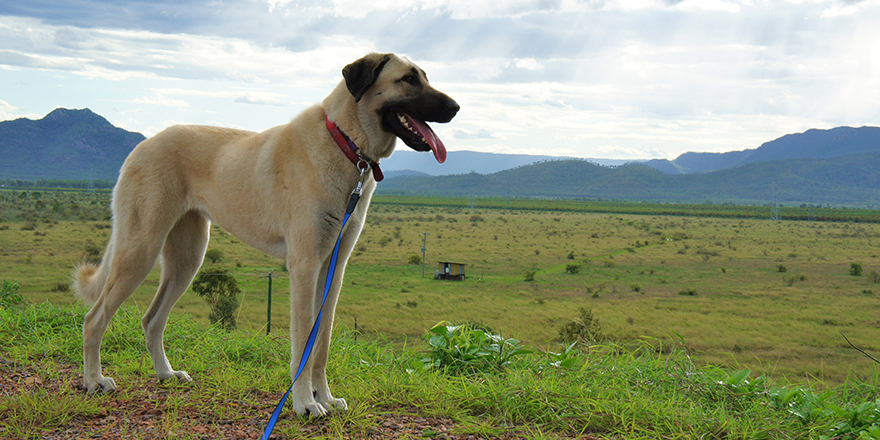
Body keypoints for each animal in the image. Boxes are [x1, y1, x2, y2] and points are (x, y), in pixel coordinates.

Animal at [74, 53, 460, 418]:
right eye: (408, 79)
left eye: (425, 76)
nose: (456, 108)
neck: (345, 141)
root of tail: (142, 145)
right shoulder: (304, 265)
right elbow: (303, 341)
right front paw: (305, 403)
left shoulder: (333, 270)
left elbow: (321, 343)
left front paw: (325, 397)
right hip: (140, 248)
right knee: (94, 320)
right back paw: (94, 381)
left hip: (187, 259)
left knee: (152, 319)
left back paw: (166, 374)